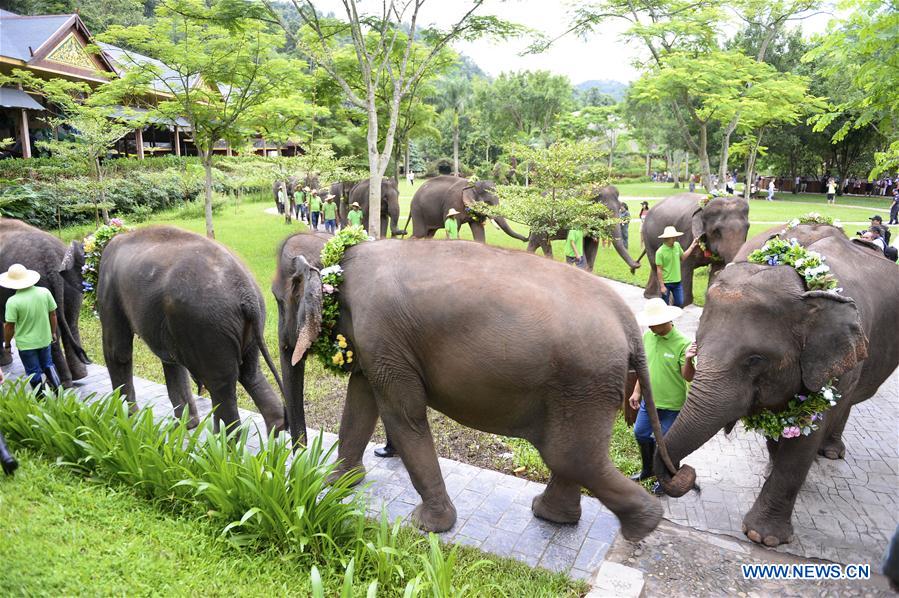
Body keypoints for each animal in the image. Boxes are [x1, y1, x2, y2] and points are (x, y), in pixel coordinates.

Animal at [96, 227, 284, 434]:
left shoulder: (109, 288)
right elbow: (171, 362)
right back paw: (278, 429)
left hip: (208, 326)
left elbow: (118, 352)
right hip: (242, 325)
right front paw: (186, 425)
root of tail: (247, 293)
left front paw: (123, 419)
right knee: (250, 374)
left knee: (220, 386)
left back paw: (219, 440)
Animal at [274, 233, 684, 540]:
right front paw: (336, 484)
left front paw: (427, 526)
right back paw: (553, 516)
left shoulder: (381, 333)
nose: (296, 465)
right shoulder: (376, 345)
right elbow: (360, 402)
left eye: (279, 300)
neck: (339, 253)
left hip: (584, 383)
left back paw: (641, 526)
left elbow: (403, 415)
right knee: (572, 457)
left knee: (571, 456)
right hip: (585, 388)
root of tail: (628, 323)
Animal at [652, 224, 899, 548]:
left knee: (845, 403)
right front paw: (772, 466)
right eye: (697, 343)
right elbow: (775, 422)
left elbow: (804, 439)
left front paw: (763, 537)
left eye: (755, 359)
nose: (685, 472)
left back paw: (831, 453)